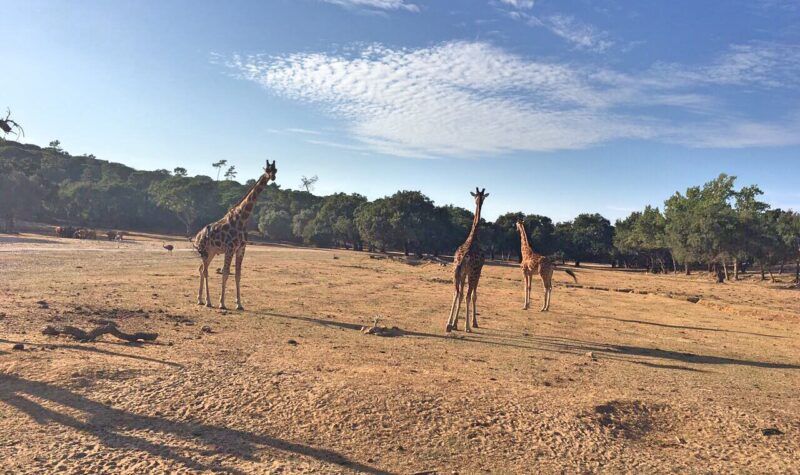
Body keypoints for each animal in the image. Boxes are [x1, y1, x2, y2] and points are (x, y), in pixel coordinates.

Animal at [194, 161, 278, 312]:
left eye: (276, 170)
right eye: (267, 170)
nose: (272, 177)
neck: (242, 218)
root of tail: (197, 236)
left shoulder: (241, 249)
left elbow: (238, 275)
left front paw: (239, 304)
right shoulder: (230, 248)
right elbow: (226, 273)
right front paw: (222, 303)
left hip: (211, 252)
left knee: (201, 269)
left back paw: (200, 300)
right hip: (204, 251)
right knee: (205, 271)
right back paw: (208, 301)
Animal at [444, 188, 488, 332]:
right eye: (479, 197)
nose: (479, 200)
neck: (473, 236)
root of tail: (462, 258)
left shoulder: (463, 273)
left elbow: (461, 294)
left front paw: (455, 323)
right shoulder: (478, 271)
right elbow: (473, 296)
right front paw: (474, 323)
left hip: (455, 272)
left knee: (456, 293)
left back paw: (448, 324)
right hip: (472, 273)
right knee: (468, 295)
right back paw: (467, 327)